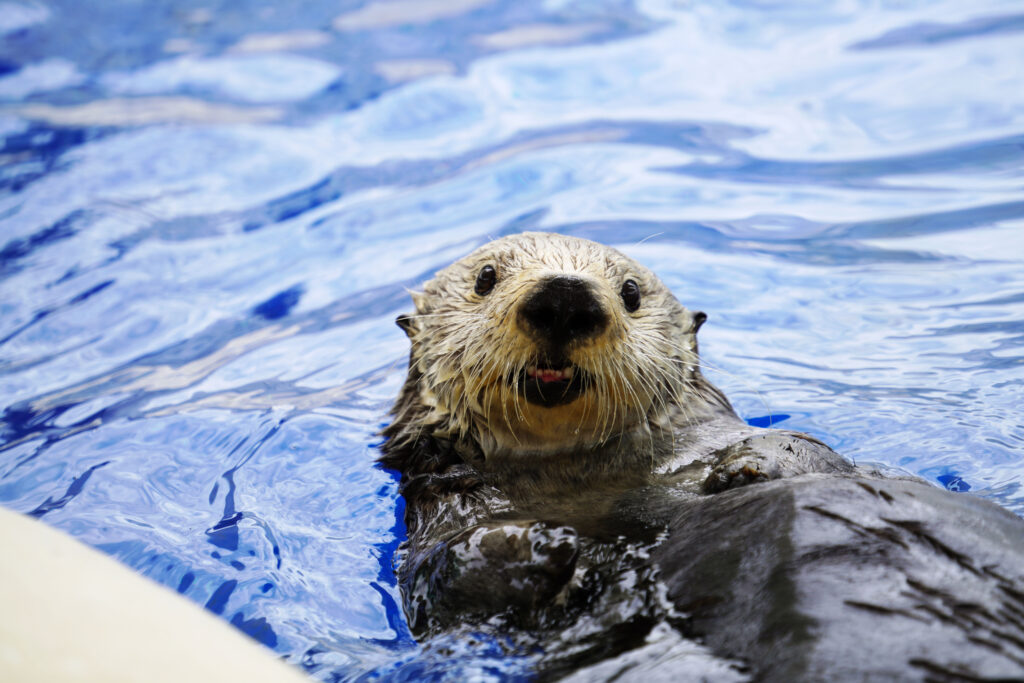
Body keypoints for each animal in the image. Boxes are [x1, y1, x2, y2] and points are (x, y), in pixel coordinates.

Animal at [380, 232, 1024, 679]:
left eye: (631, 293)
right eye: (486, 277)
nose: (564, 297)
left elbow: (817, 453)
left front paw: (750, 465)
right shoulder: (439, 515)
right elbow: (443, 586)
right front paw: (532, 543)